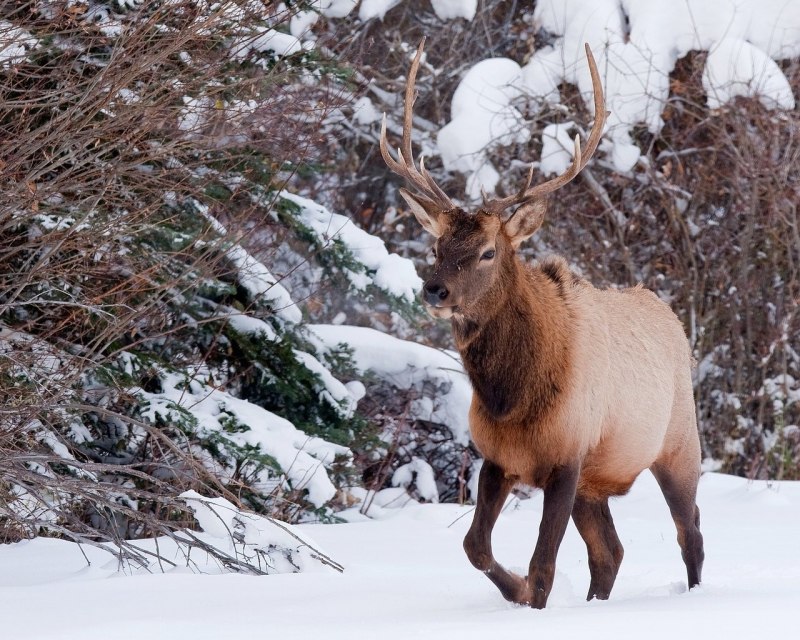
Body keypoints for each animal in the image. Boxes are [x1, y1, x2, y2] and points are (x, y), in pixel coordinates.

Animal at [379, 40, 704, 609]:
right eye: (437, 246)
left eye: (488, 251)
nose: (434, 290)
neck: (511, 398)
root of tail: (670, 317)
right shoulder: (497, 458)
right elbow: (475, 547)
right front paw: (515, 590)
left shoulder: (567, 456)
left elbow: (544, 564)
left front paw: (529, 593)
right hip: (597, 482)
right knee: (610, 552)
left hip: (680, 444)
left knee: (691, 534)